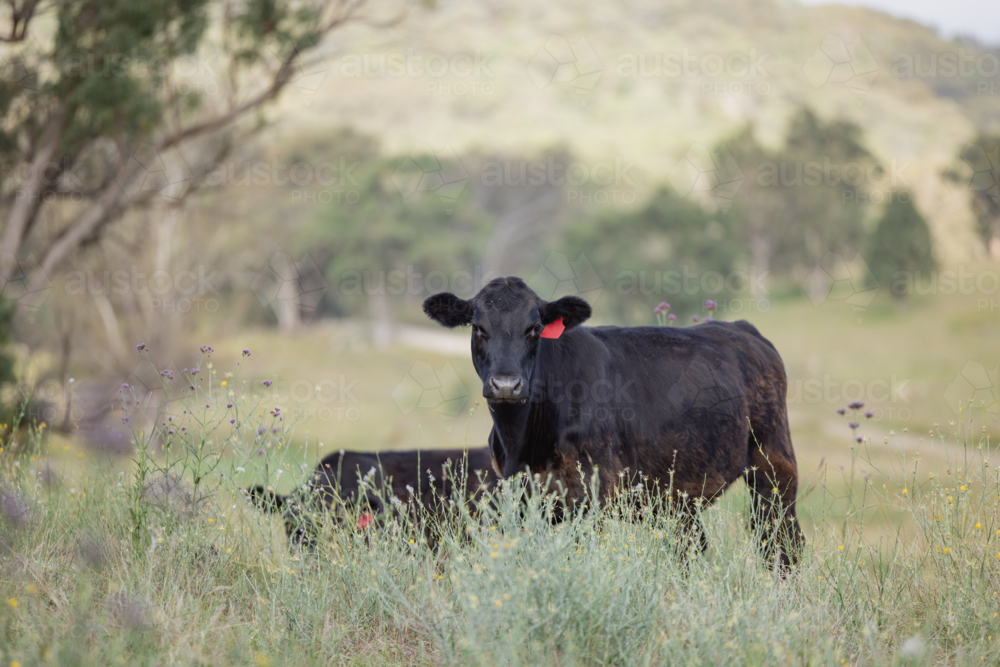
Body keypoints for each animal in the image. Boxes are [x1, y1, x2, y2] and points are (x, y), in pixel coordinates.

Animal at [422, 276, 804, 568]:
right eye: (478, 328)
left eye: (534, 328)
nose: (505, 384)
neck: (524, 442)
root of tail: (741, 328)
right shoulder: (519, 495)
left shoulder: (591, 493)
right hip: (682, 491)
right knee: (692, 546)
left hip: (774, 467)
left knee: (781, 541)